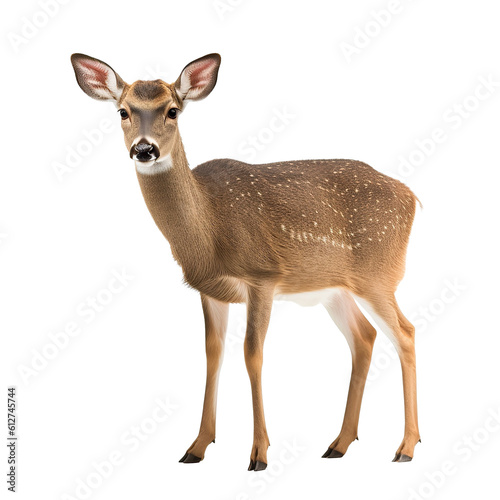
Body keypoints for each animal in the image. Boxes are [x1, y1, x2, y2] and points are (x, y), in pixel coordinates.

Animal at [71, 52, 422, 470]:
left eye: (172, 110)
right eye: (123, 111)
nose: (144, 149)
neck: (208, 230)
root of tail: (412, 197)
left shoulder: (263, 277)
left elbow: (252, 354)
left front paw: (259, 453)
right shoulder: (210, 290)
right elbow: (213, 353)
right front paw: (196, 446)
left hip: (379, 275)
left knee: (406, 333)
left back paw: (405, 447)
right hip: (335, 289)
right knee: (364, 337)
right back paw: (339, 443)